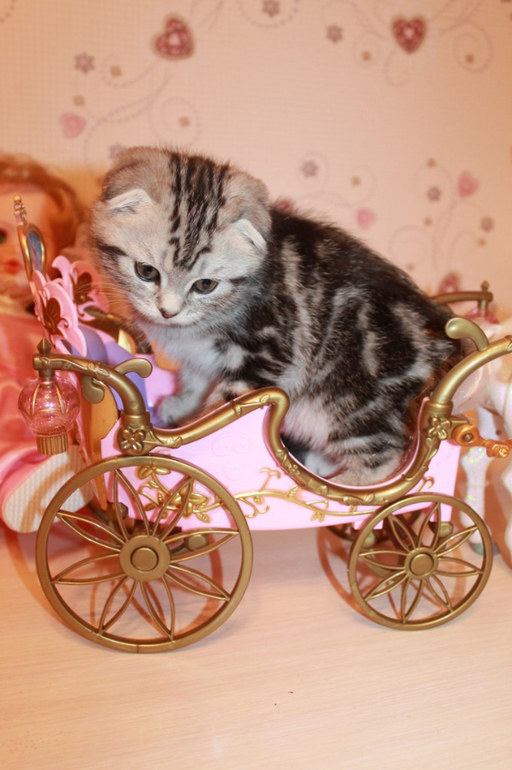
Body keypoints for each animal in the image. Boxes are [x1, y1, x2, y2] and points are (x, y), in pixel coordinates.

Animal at [91, 146, 462, 485]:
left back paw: (339, 489)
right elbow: (196, 380)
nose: (168, 311)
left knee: (384, 456)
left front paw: (191, 438)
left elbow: (226, 409)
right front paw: (183, 408)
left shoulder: (265, 354)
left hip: (351, 397)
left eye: (205, 284)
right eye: (146, 271)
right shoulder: (200, 356)